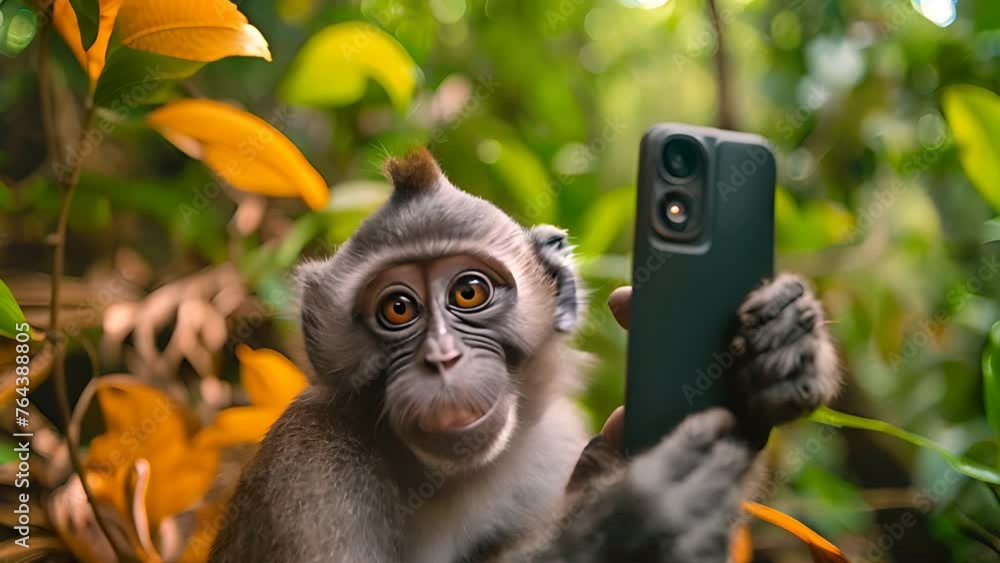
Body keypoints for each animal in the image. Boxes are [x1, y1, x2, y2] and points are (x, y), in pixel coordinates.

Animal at [208, 148, 841, 563]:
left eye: (468, 292)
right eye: (398, 309)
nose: (443, 358)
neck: (441, 480)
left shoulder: (550, 443)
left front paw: (782, 346)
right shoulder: (309, 476)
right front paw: (632, 526)